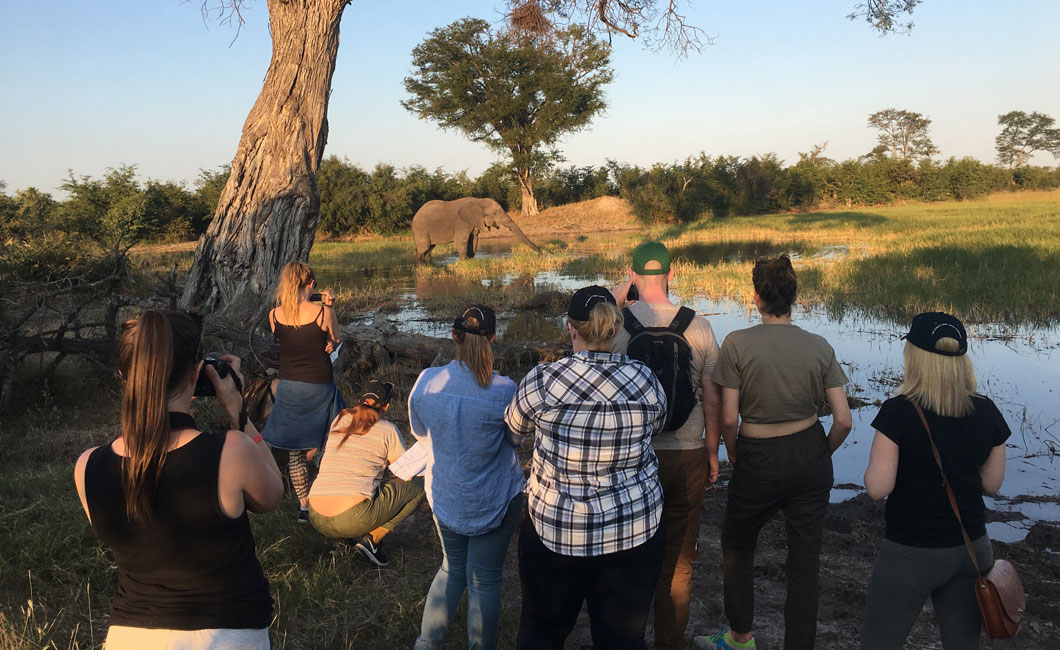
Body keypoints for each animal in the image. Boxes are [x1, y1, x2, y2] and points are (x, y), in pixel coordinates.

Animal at [409, 195, 542, 264]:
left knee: (429, 249)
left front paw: (470, 259)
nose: (541, 253)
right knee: (424, 248)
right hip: (421, 229)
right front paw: (464, 261)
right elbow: (461, 240)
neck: (479, 201)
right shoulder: (461, 223)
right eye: (495, 213)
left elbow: (474, 239)